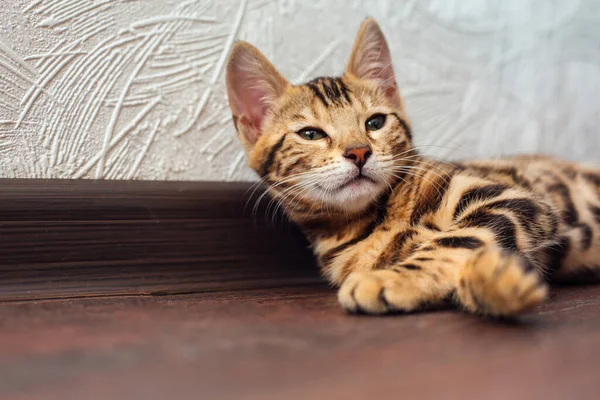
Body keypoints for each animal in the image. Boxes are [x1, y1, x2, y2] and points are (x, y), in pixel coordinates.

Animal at [225, 17, 600, 318]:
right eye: (311, 134)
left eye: (375, 122)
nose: (359, 152)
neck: (371, 221)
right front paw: (496, 284)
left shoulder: (513, 198)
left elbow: (454, 239)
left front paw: (392, 279)